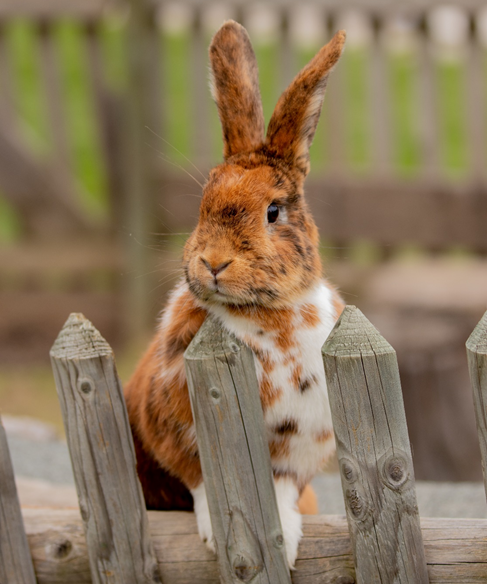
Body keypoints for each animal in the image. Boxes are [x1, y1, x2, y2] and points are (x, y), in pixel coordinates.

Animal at [126, 20, 346, 568]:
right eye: (204, 201)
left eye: (273, 211)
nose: (213, 262)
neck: (264, 316)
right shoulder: (175, 431)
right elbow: (203, 483)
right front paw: (212, 535)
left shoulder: (300, 444)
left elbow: (284, 487)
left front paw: (286, 539)